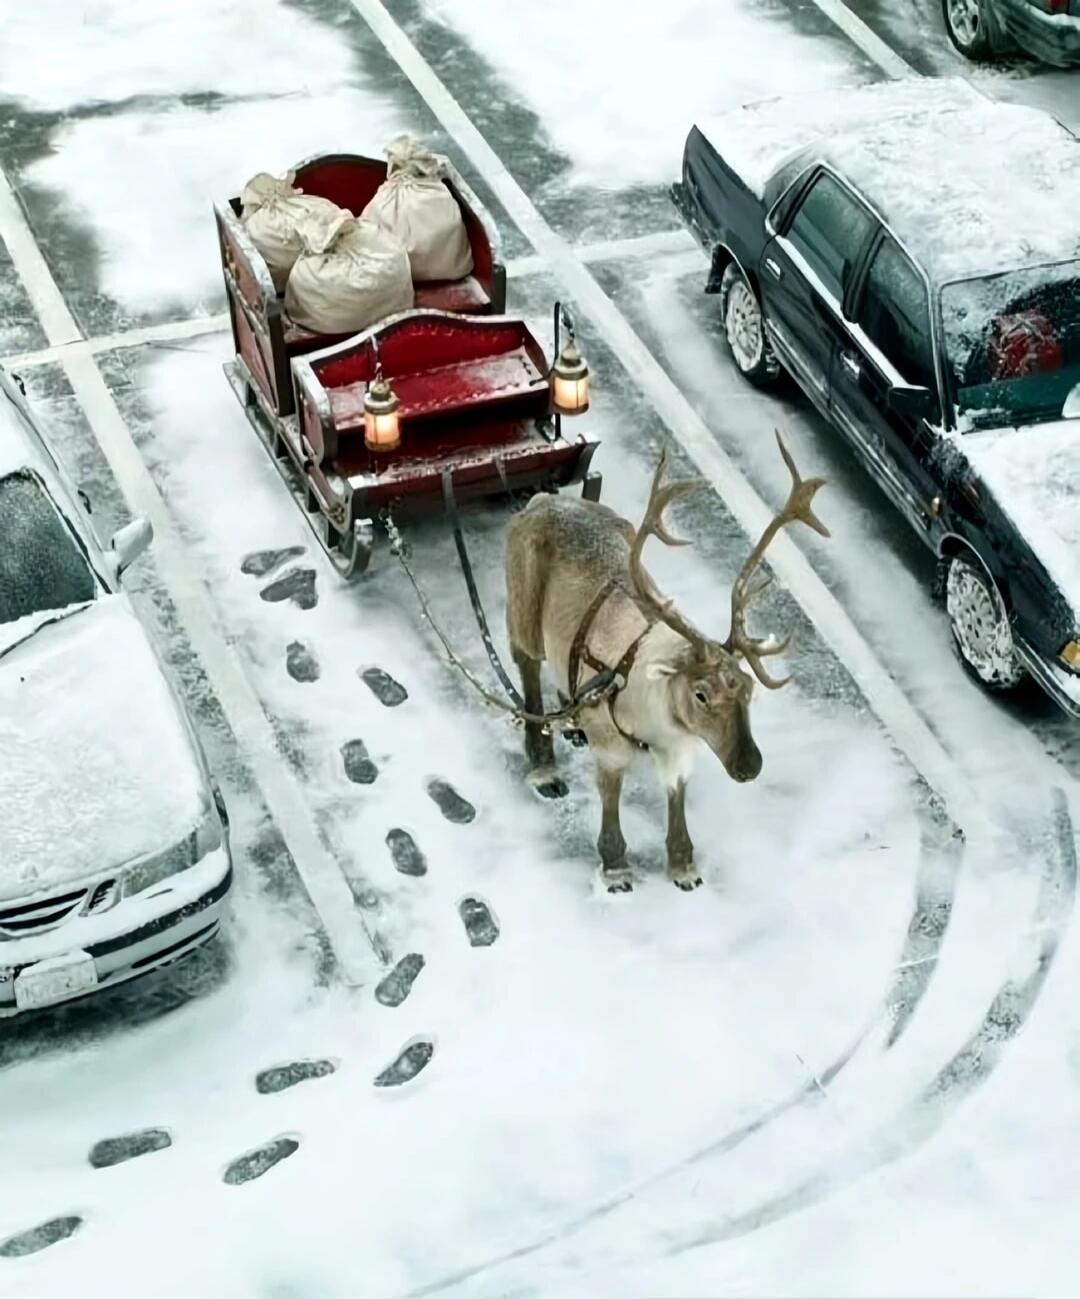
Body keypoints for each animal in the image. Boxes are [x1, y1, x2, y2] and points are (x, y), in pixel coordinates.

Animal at [504, 431, 828, 892]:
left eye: (748, 689)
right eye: (701, 694)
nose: (750, 766)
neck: (655, 724)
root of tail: (542, 500)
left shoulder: (680, 750)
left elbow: (677, 801)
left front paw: (683, 866)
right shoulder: (612, 750)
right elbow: (610, 802)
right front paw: (616, 867)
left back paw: (571, 720)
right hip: (522, 612)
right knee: (527, 668)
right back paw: (544, 765)